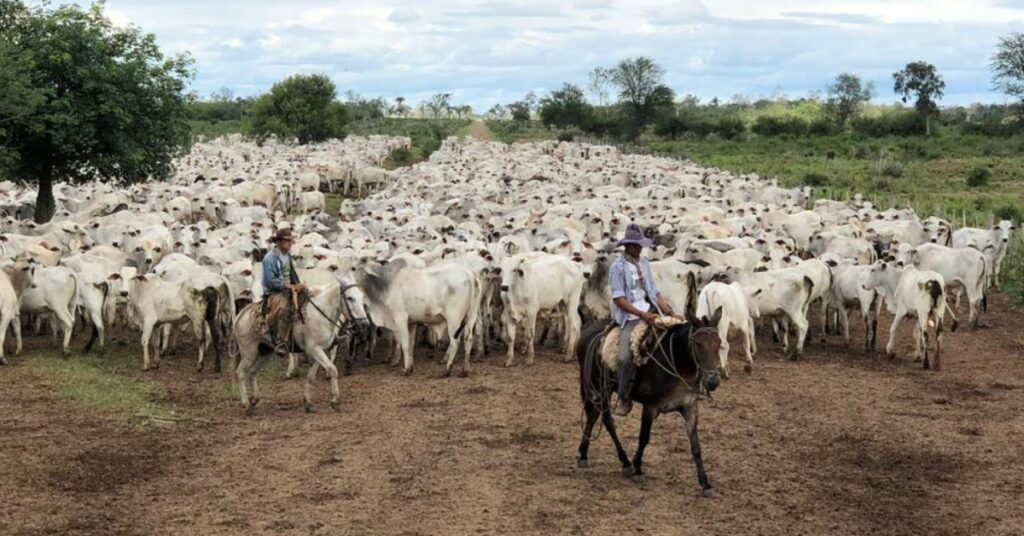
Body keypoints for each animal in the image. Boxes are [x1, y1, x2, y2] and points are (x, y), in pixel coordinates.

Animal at [581, 311, 724, 498]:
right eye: (698, 343)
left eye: (719, 343)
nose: (713, 381)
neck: (677, 362)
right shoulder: (650, 407)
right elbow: (644, 438)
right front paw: (638, 469)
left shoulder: (690, 408)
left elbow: (696, 447)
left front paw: (705, 484)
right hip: (598, 387)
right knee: (603, 419)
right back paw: (614, 460)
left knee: (596, 417)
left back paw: (594, 456)